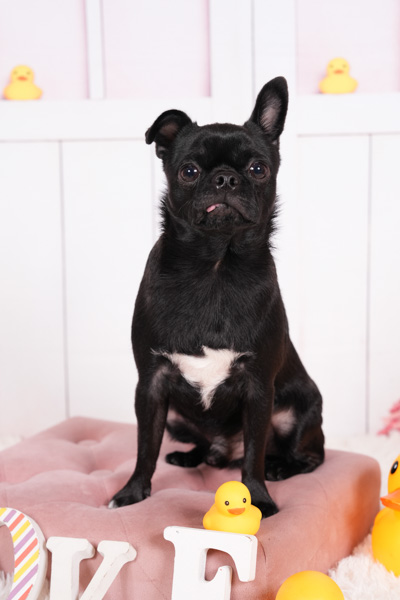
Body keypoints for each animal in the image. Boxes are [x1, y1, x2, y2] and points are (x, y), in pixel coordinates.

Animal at [110, 77, 324, 518]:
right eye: (189, 171)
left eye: (258, 169)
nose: (225, 179)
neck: (215, 267)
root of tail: (224, 451)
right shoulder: (151, 385)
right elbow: (144, 447)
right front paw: (133, 493)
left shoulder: (259, 388)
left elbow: (255, 454)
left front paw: (259, 497)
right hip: (176, 415)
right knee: (198, 445)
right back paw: (190, 456)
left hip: (301, 408)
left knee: (307, 455)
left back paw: (281, 467)